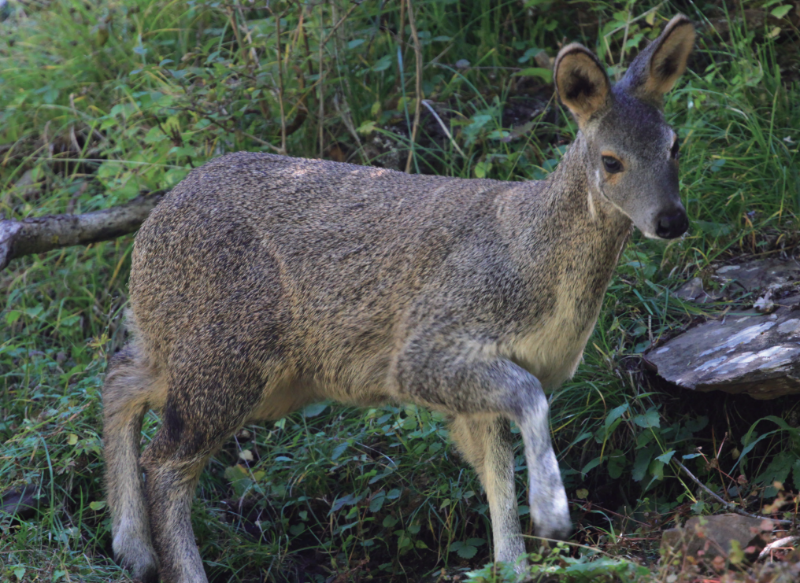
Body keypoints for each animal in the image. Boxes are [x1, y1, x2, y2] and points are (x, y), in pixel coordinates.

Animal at [103, 15, 694, 582]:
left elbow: (496, 476)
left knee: (121, 374)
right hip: (231, 354)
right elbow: (526, 407)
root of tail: (149, 232)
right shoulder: (426, 345)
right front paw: (552, 514)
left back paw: (132, 548)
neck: (534, 263)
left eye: (674, 144)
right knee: (166, 462)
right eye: (611, 160)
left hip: (219, 359)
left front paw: (514, 564)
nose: (671, 220)